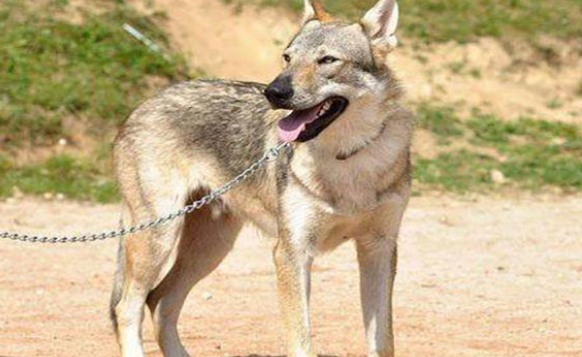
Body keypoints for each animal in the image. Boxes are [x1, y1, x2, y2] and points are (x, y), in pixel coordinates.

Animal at [112, 0, 412, 356]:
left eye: (327, 60)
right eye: (287, 57)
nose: (274, 92)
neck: (348, 159)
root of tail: (143, 104)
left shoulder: (379, 248)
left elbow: (384, 341)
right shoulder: (291, 253)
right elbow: (301, 341)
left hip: (210, 249)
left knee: (159, 300)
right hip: (160, 237)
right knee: (127, 307)